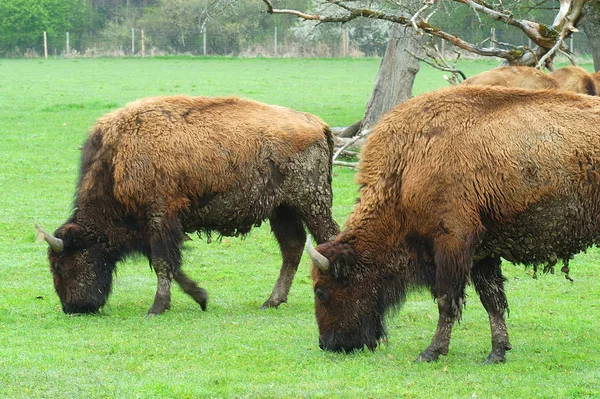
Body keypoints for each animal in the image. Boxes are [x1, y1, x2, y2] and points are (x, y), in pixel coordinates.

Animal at [36, 96, 338, 316]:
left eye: (60, 266)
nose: (71, 308)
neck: (117, 159)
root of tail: (318, 124)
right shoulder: (158, 228)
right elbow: (170, 263)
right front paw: (200, 297)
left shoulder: (159, 217)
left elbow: (162, 262)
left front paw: (157, 307)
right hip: (282, 209)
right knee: (293, 247)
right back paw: (271, 301)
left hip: (311, 203)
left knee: (326, 237)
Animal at [308, 85, 600, 366]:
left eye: (321, 291)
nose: (327, 344)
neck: (406, 168)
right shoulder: (483, 253)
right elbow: (492, 300)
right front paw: (497, 352)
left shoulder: (451, 246)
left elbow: (446, 301)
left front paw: (430, 352)